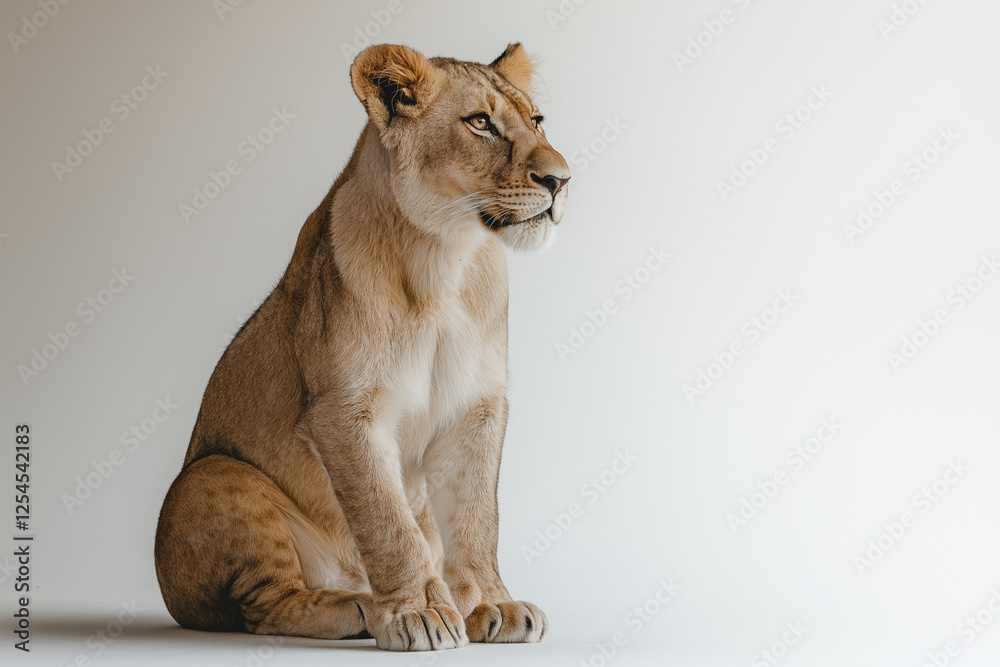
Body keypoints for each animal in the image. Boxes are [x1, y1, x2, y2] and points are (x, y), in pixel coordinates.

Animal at [153, 43, 570, 651]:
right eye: (480, 123)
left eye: (537, 120)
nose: (562, 180)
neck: (443, 262)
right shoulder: (343, 411)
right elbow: (387, 524)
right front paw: (417, 612)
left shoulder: (477, 407)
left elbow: (476, 518)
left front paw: (490, 604)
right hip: (210, 475)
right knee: (267, 606)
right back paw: (361, 607)